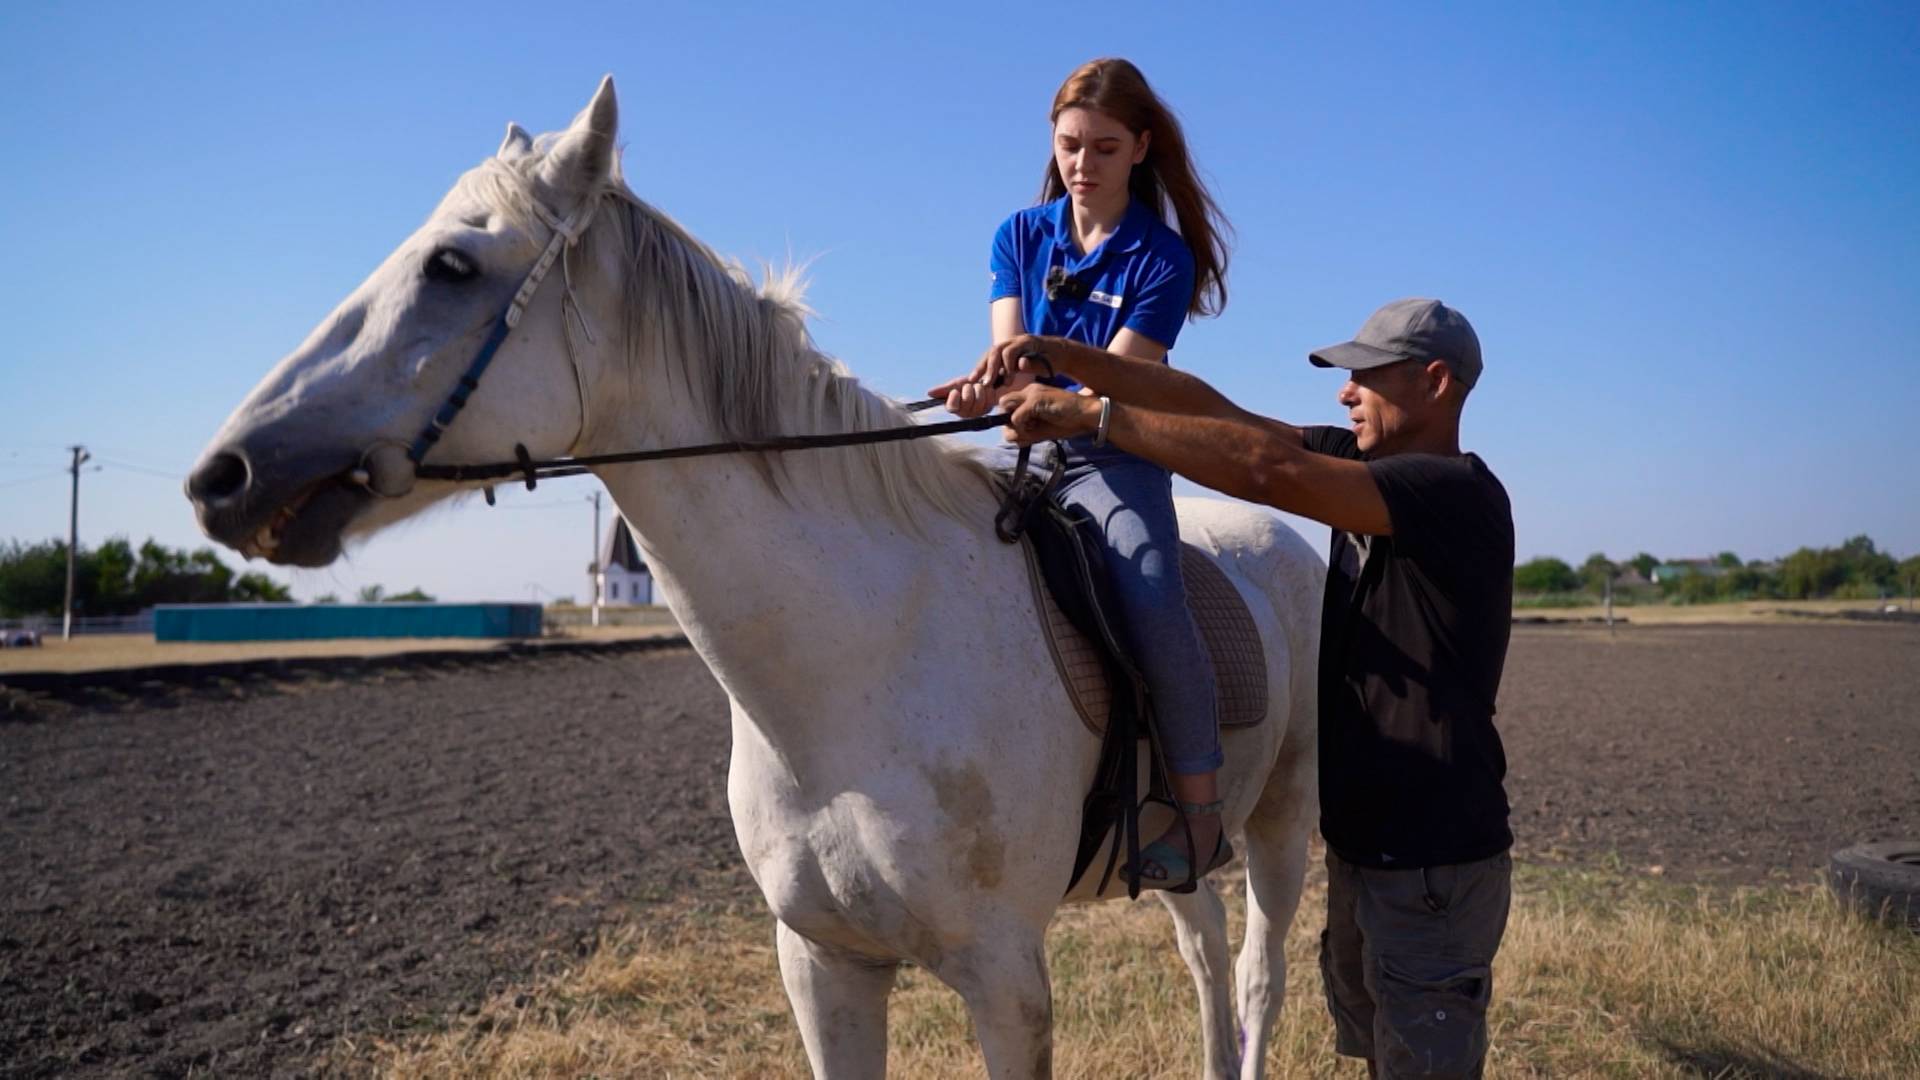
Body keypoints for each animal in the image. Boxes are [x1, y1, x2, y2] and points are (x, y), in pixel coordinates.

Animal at [187, 79, 1328, 1068]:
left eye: (452, 267)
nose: (224, 476)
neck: (858, 667)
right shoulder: (824, 966)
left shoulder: (1005, 981)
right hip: (1177, 853)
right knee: (1204, 950)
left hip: (1282, 824)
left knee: (1259, 972)